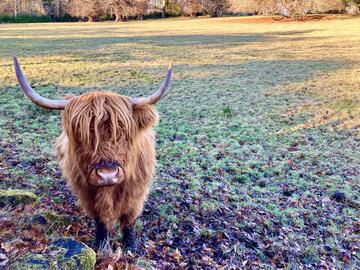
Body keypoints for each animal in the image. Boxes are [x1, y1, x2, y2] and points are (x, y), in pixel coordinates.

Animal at [12, 56, 173, 251]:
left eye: (123, 132)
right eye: (83, 135)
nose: (107, 174)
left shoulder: (136, 190)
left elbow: (129, 218)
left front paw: (130, 245)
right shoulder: (88, 192)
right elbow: (100, 218)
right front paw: (100, 244)